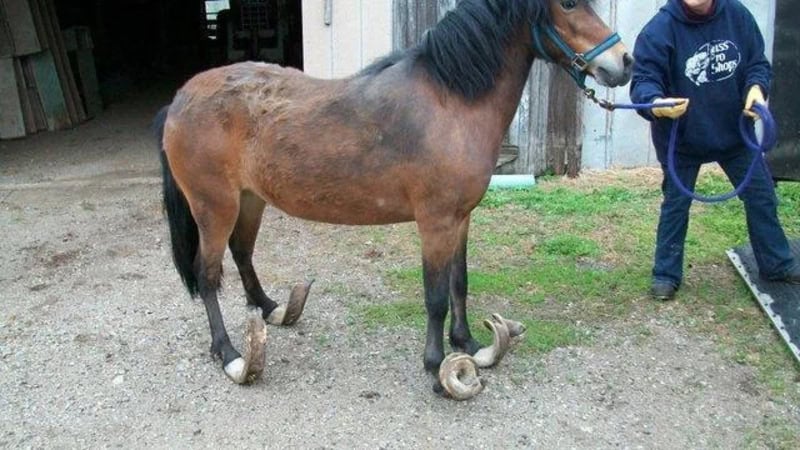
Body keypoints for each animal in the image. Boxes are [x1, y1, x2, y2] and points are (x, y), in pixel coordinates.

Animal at [155, 0, 632, 399]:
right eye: (568, 3)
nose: (624, 63)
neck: (451, 99)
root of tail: (179, 100)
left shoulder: (460, 218)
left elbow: (459, 282)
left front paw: (468, 343)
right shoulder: (435, 221)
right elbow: (435, 296)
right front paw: (438, 368)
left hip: (250, 200)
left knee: (242, 252)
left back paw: (272, 310)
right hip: (215, 207)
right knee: (207, 275)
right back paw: (230, 355)